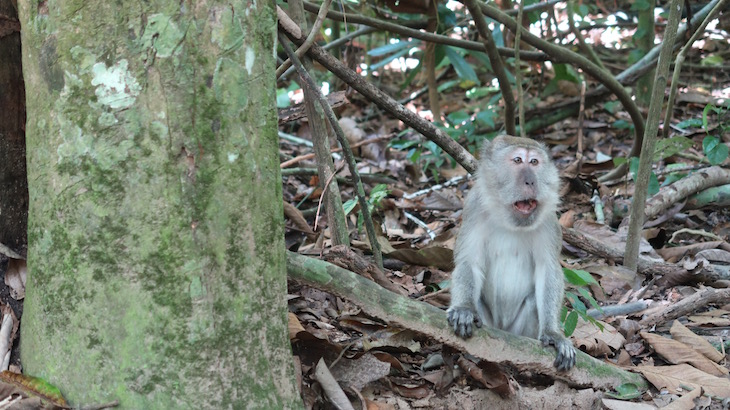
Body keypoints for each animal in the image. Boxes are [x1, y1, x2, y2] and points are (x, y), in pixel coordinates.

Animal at [444, 135, 576, 372]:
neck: (510, 221)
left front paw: (553, 333)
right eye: (517, 160)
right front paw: (464, 309)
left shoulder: (548, 221)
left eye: (534, 162)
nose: (530, 181)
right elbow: (469, 262)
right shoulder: (474, 207)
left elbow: (548, 271)